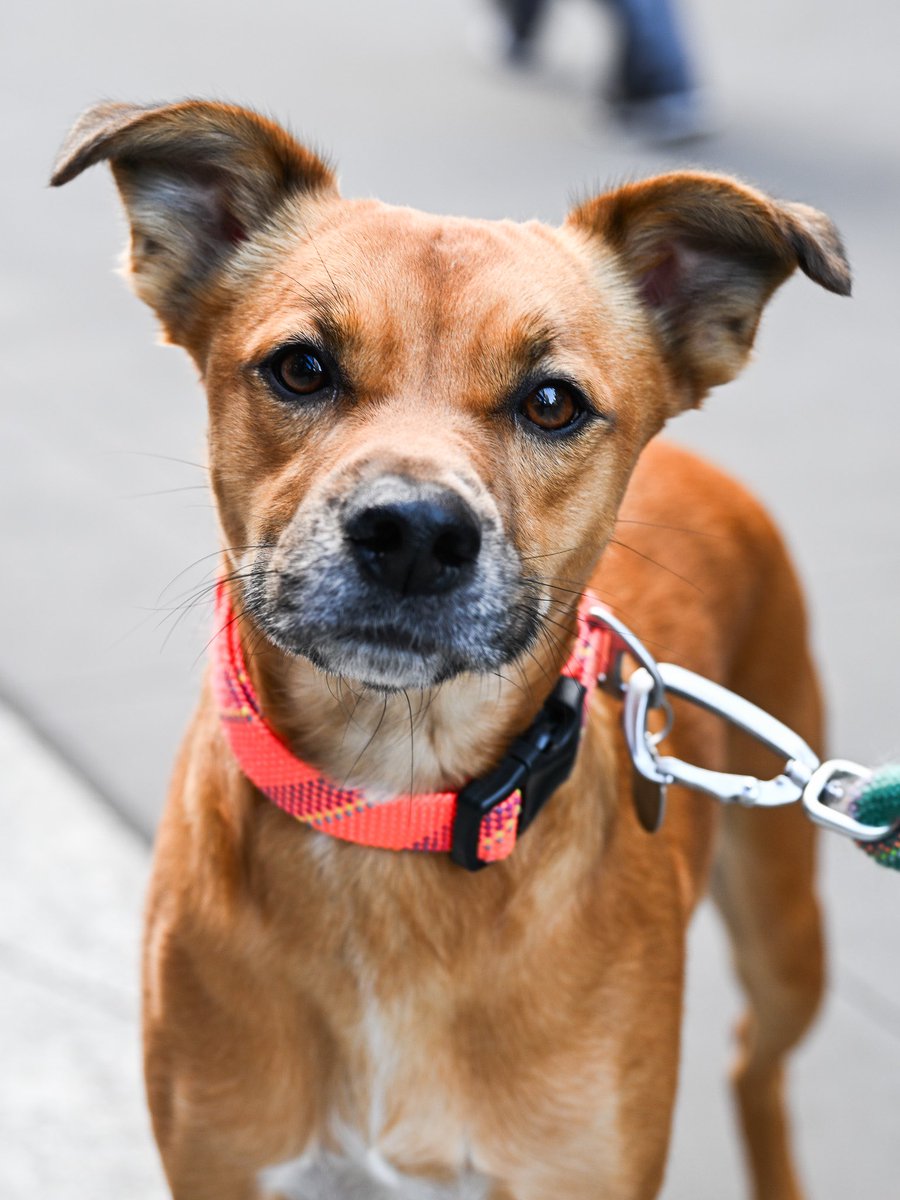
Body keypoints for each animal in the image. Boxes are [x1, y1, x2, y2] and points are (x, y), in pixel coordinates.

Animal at [56, 103, 854, 1200]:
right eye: (301, 367)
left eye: (553, 402)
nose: (414, 533)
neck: (389, 801)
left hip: (786, 937)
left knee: (754, 1060)